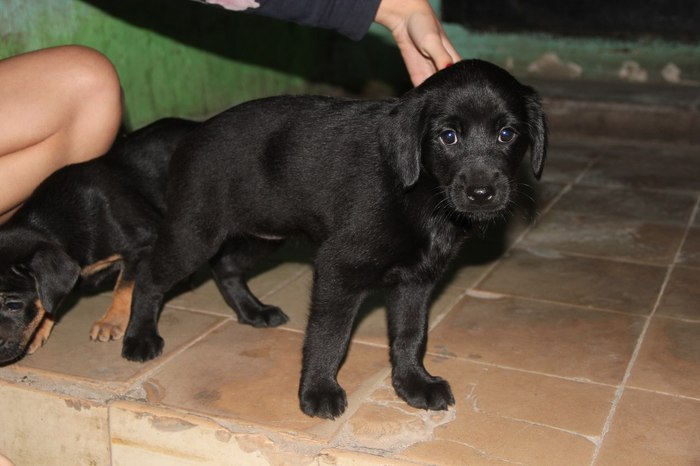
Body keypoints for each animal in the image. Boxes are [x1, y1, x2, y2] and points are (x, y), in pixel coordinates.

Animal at [0, 116, 288, 364]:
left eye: (13, 304)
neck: (57, 220)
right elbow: (53, 298)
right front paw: (39, 330)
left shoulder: (143, 243)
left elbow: (125, 286)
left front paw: (111, 321)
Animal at [121, 58, 548, 418]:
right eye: (448, 136)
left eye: (507, 134)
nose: (482, 193)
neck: (421, 194)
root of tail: (192, 132)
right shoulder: (337, 268)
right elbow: (329, 337)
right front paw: (319, 391)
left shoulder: (415, 281)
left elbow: (411, 334)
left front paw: (413, 383)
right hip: (195, 234)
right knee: (150, 275)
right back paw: (139, 337)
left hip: (265, 235)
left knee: (225, 266)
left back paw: (253, 311)